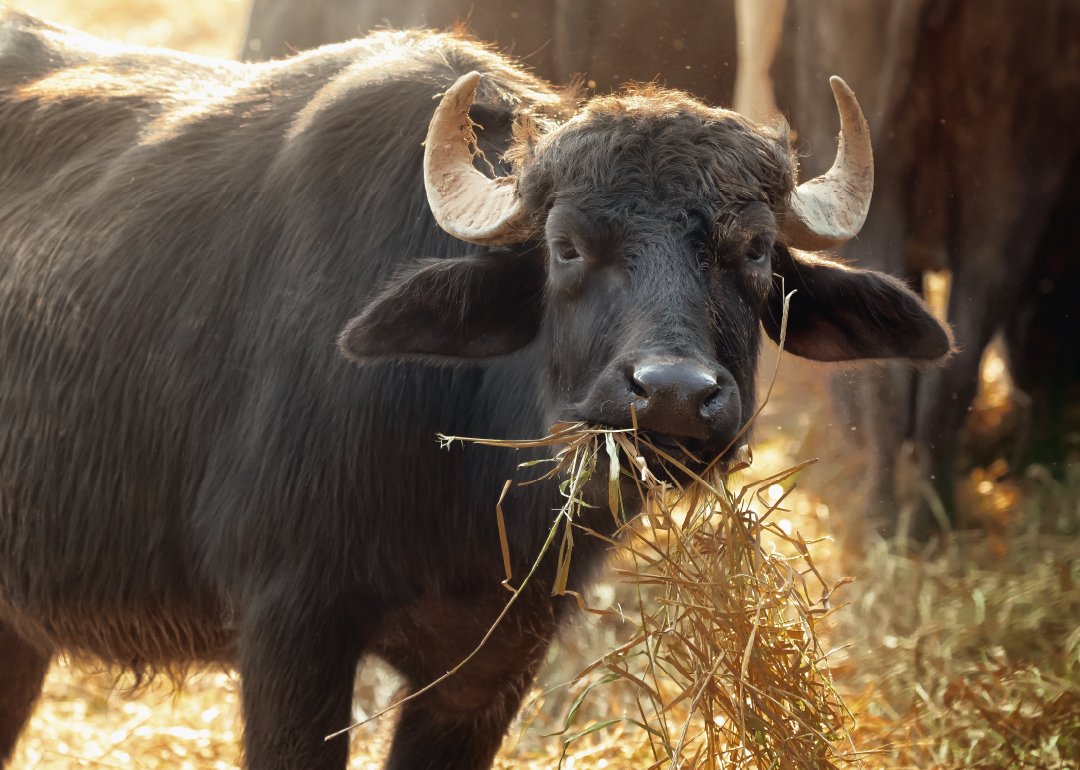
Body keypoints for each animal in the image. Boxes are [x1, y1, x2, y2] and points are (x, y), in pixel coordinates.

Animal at [0, 10, 949, 770]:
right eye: (566, 248)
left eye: (752, 250)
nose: (674, 394)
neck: (457, 486)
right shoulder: (289, 625)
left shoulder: (495, 659)